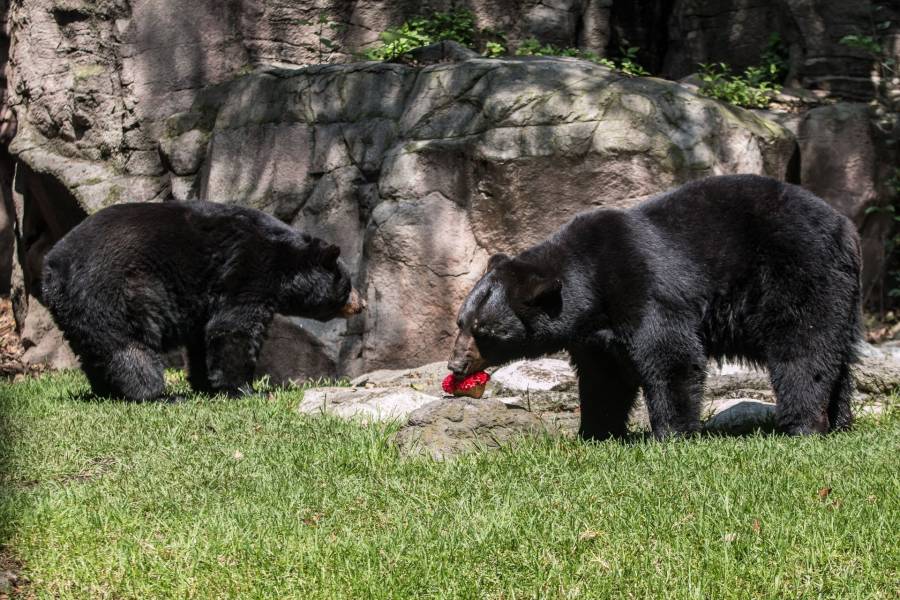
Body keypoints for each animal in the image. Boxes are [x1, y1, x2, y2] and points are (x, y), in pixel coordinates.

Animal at [41, 200, 365, 401]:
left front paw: (206, 384)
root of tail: (52, 269)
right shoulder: (248, 269)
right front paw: (246, 389)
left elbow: (203, 335)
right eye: (348, 284)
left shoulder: (204, 296)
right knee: (129, 347)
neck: (284, 261)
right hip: (112, 292)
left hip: (77, 311)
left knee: (95, 351)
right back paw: (158, 395)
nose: (361, 304)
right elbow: (235, 328)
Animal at [448, 174, 862, 439]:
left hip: (797, 272)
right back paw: (839, 421)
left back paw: (803, 424)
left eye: (485, 331)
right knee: (837, 355)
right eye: (461, 323)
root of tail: (846, 227)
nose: (455, 365)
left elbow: (670, 355)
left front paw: (672, 433)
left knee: (803, 348)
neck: (591, 284)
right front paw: (595, 431)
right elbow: (603, 378)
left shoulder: (645, 287)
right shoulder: (596, 336)